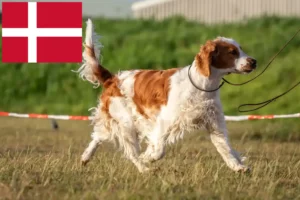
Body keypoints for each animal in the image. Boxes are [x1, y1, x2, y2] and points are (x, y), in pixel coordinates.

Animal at [77, 18, 255, 173]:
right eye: (232, 52)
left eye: (241, 49)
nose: (254, 61)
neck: (202, 85)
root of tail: (113, 79)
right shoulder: (165, 121)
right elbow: (158, 150)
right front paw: (147, 157)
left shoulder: (214, 123)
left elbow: (225, 149)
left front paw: (239, 167)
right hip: (127, 123)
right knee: (130, 152)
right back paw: (144, 169)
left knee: (98, 135)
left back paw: (85, 157)